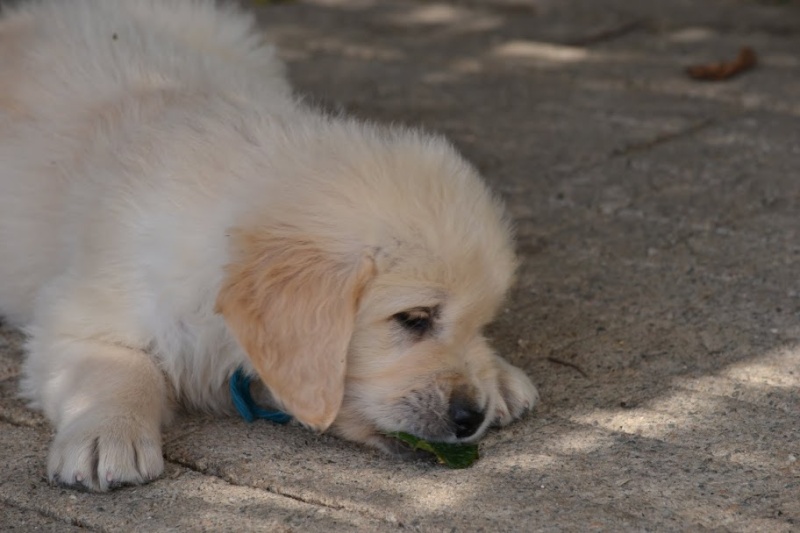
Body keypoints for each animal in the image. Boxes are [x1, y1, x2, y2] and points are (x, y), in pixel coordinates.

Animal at [1, 0, 536, 490]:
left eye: (480, 323)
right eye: (414, 319)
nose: (471, 415)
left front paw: (497, 372)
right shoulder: (85, 311)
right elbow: (118, 366)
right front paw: (108, 433)